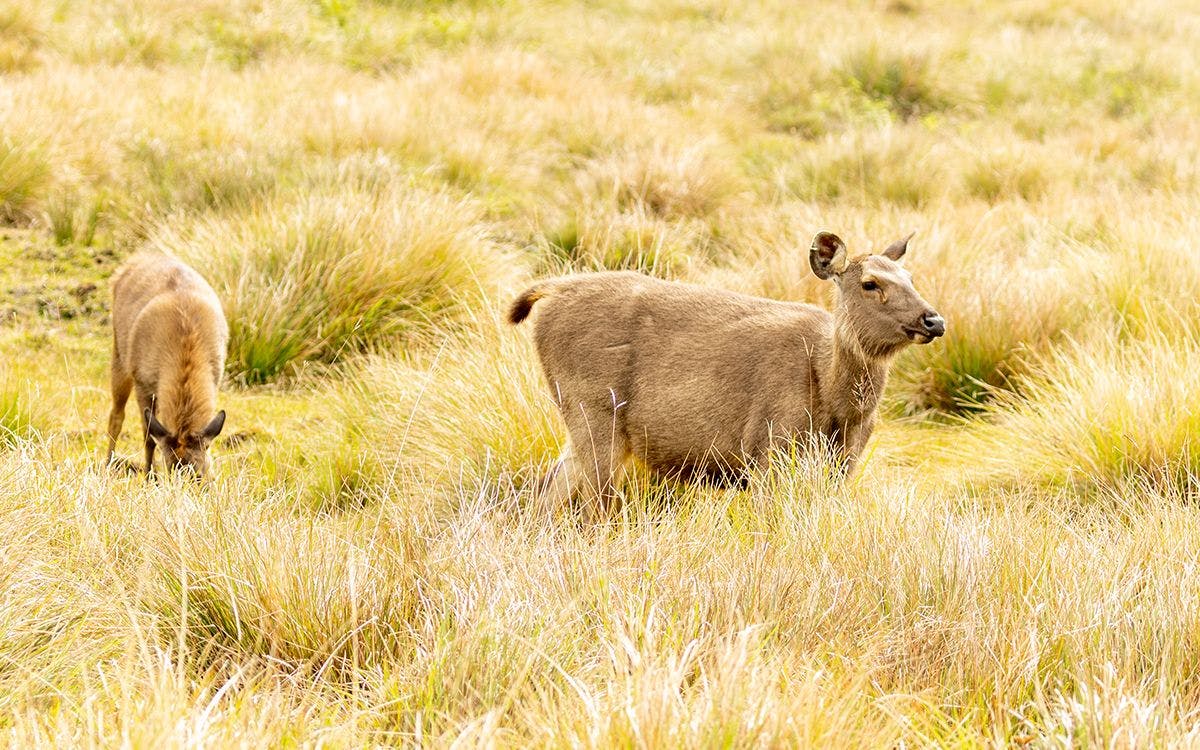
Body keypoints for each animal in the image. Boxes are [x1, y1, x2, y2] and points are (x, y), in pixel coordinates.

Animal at [108, 252, 231, 472]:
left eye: (198, 473)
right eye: (170, 467)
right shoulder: (142, 381)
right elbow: (149, 436)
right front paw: (149, 475)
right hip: (119, 355)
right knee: (116, 415)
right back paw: (107, 463)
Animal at [506, 231, 945, 518]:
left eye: (910, 277)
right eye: (870, 283)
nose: (934, 320)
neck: (836, 403)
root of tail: (550, 291)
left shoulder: (843, 464)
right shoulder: (771, 448)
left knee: (549, 489)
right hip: (594, 409)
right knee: (592, 503)